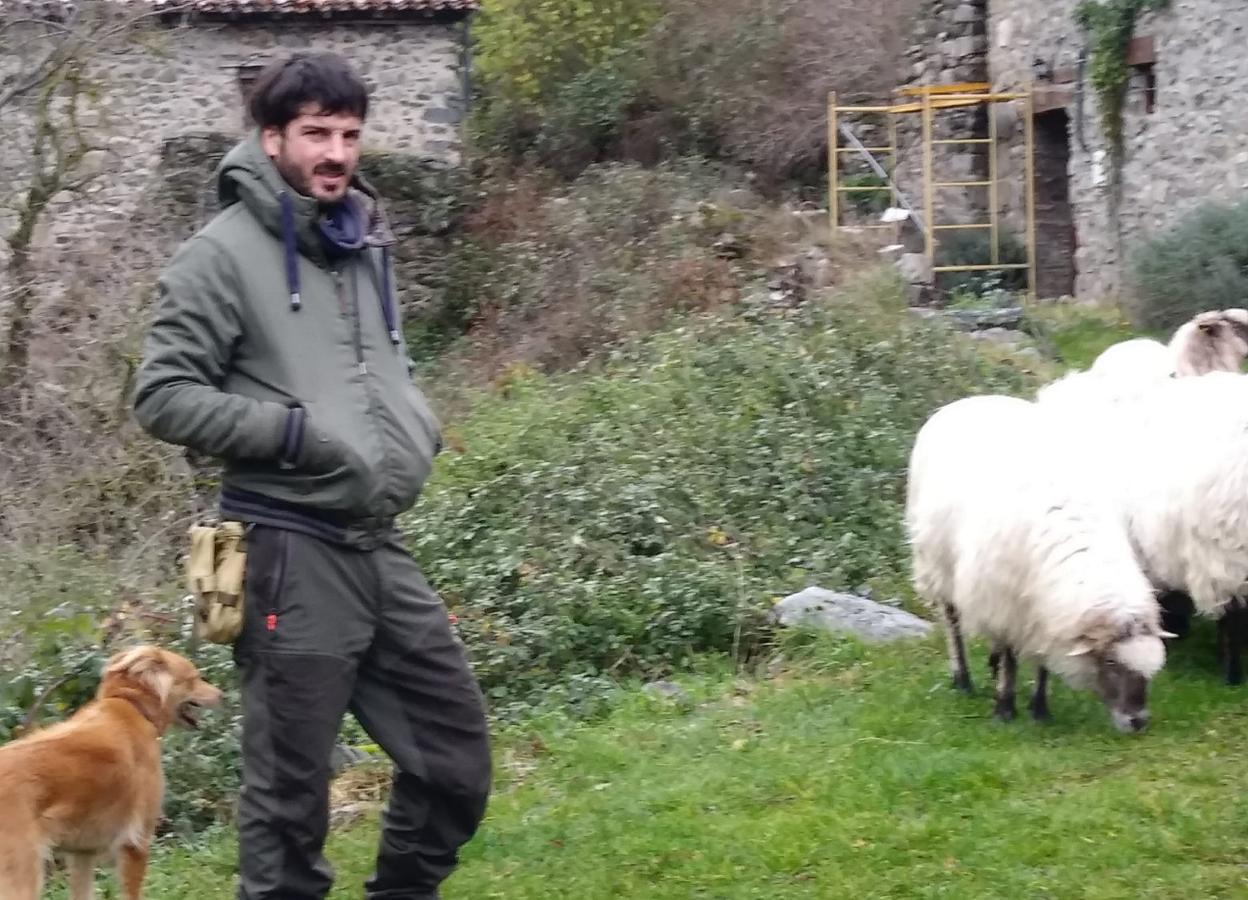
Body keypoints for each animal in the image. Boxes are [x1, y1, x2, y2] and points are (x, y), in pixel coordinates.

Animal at [0, 644, 222, 893]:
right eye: (193, 678)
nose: (221, 695)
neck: (132, 704)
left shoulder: (82, 854)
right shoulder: (136, 844)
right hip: (22, 877)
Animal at [908, 394, 1168, 728]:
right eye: (1110, 660)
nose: (1138, 722)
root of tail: (971, 399)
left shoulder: (1047, 611)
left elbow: (1041, 660)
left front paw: (1040, 708)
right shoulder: (1004, 603)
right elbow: (1010, 658)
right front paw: (1005, 707)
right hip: (939, 565)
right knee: (952, 623)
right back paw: (962, 678)